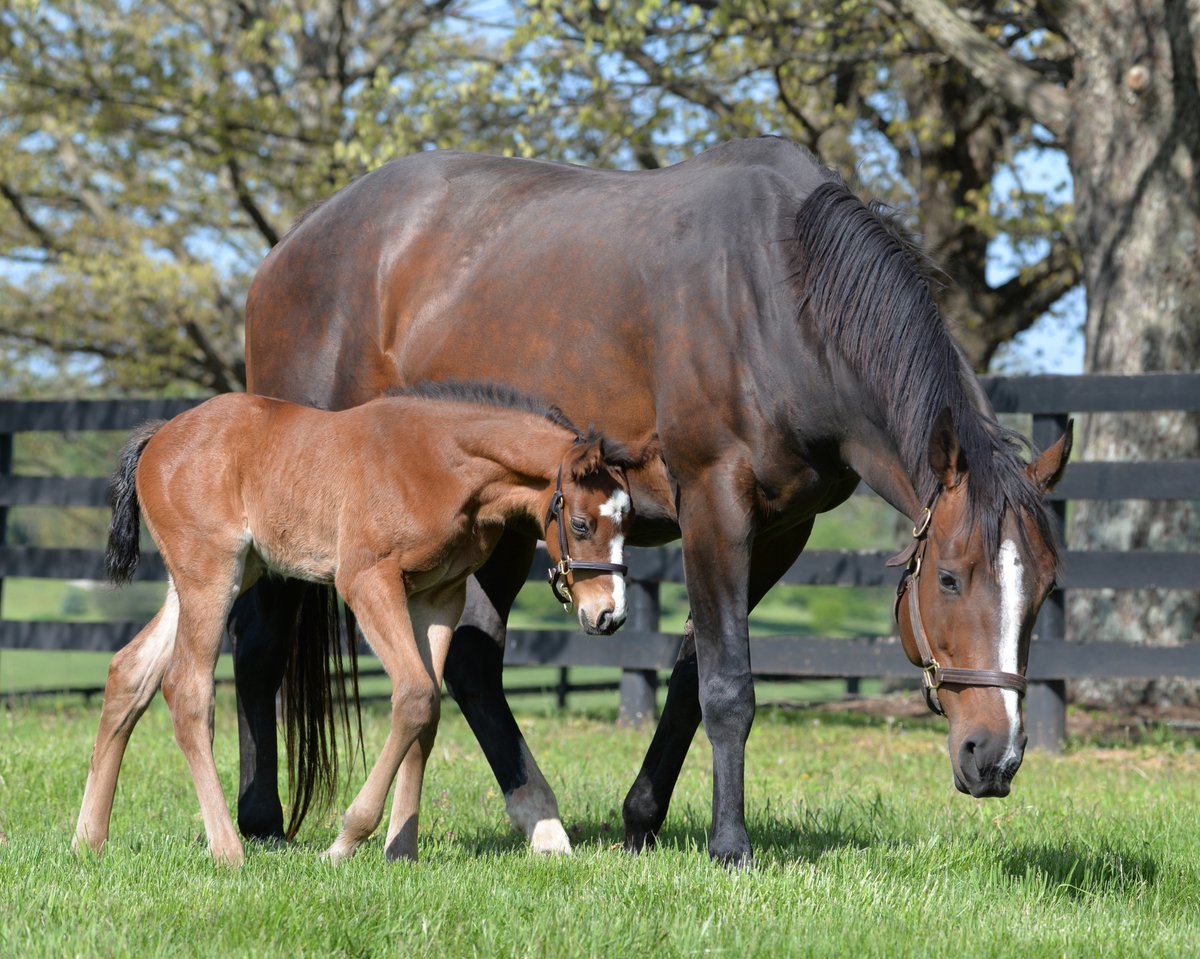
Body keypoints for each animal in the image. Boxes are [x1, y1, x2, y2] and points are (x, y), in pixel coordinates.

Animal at [72, 384, 638, 868]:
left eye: (628, 522)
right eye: (581, 523)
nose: (609, 614)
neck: (441, 465)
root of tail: (160, 435)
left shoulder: (438, 597)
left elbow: (428, 710)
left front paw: (401, 850)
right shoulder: (367, 580)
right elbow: (415, 695)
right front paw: (345, 842)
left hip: (217, 576)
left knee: (129, 671)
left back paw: (89, 840)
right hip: (211, 575)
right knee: (187, 688)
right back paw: (227, 850)